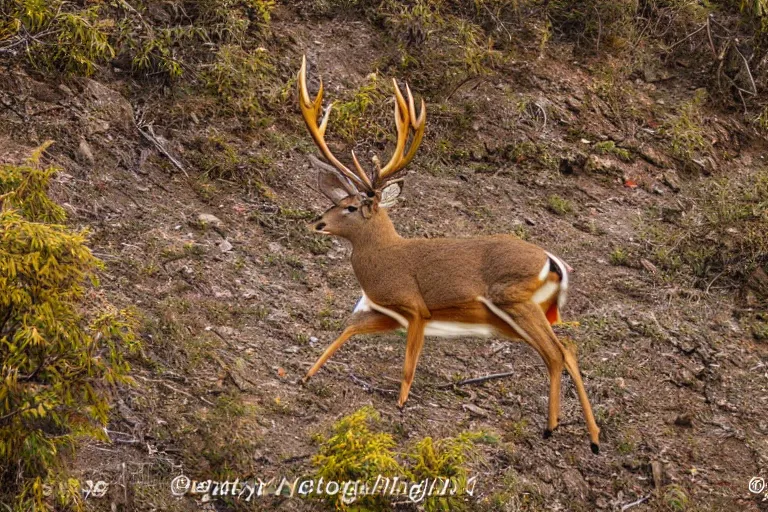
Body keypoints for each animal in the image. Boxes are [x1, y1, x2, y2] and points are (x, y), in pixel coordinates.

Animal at [296, 56, 604, 452]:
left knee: (557, 351)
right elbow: (347, 329)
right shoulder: (387, 313)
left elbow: (408, 363)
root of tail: (552, 261)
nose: (318, 222)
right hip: (513, 317)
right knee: (565, 347)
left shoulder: (414, 307)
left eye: (350, 207)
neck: (382, 259)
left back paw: (563, 429)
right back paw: (582, 434)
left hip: (513, 298)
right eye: (337, 200)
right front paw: (306, 376)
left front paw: (401, 405)